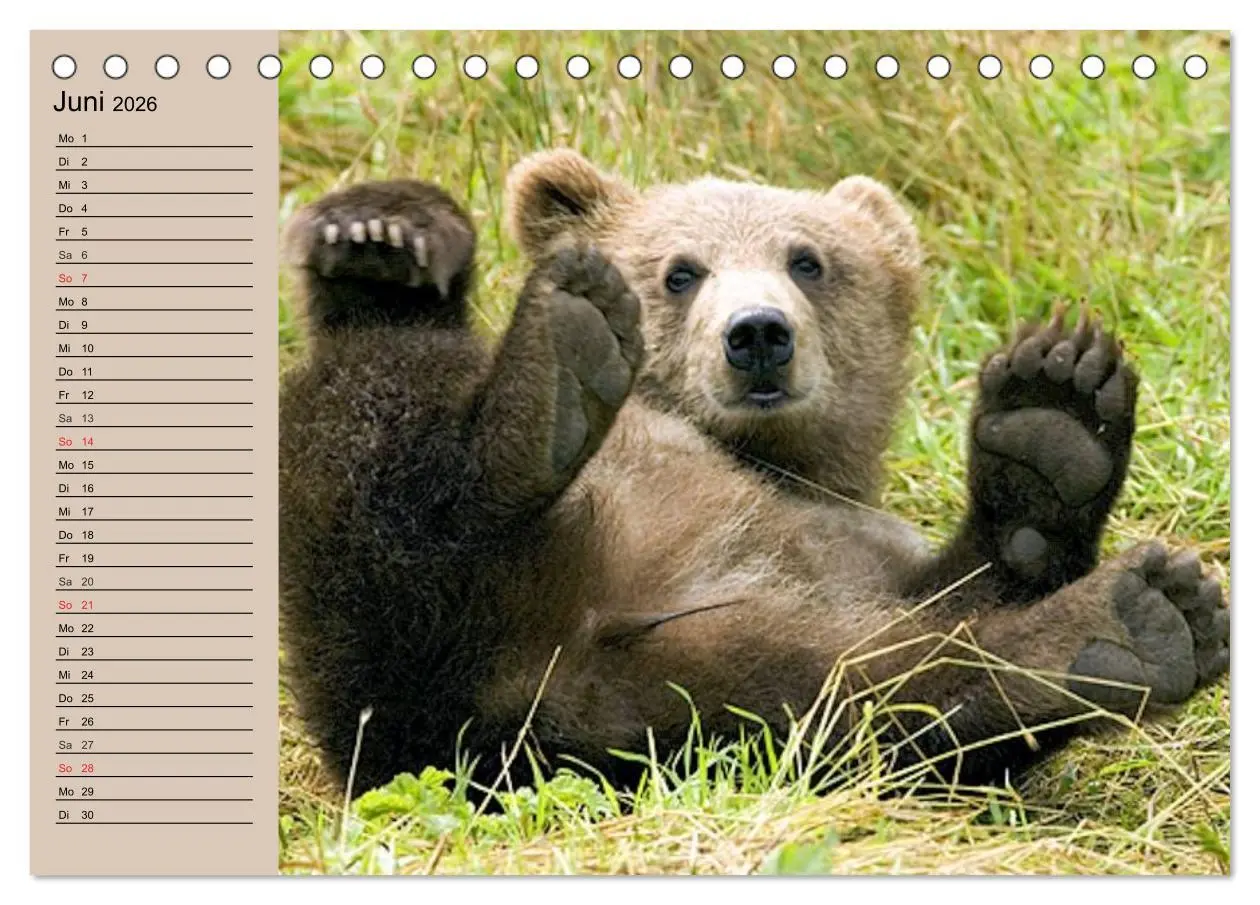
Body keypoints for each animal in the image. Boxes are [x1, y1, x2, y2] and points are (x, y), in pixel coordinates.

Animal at [278, 150, 1229, 797]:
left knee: (877, 692)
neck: (768, 458)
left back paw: (1129, 618)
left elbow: (960, 600)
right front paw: (383, 233)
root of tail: (527, 677)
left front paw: (1053, 416)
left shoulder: (846, 546)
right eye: (681, 270)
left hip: (688, 692)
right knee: (377, 433)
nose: (759, 333)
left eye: (808, 259)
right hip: (406, 645)